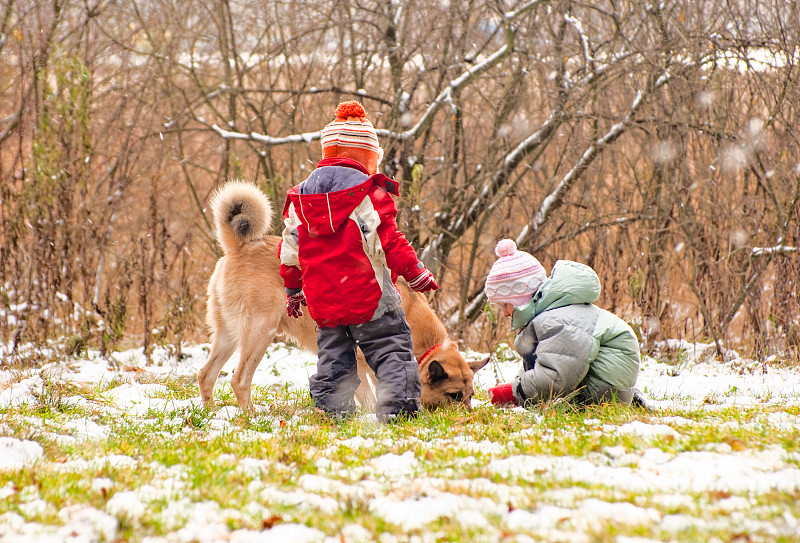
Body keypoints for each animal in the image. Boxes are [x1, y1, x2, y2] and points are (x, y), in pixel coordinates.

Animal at [198, 181, 488, 414]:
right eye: (454, 396)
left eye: (471, 396)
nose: (471, 417)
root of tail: (240, 247)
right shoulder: (359, 364)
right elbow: (369, 397)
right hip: (260, 333)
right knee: (239, 380)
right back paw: (251, 418)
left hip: (228, 336)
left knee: (205, 375)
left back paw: (212, 415)